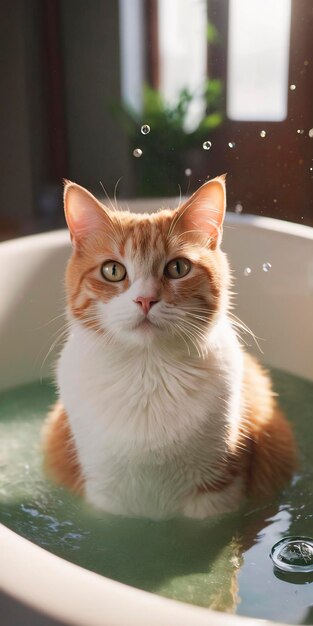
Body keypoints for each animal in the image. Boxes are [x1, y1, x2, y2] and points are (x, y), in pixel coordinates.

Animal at [42, 176, 296, 516]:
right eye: (113, 270)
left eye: (178, 268)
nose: (145, 299)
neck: (148, 372)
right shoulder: (106, 494)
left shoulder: (217, 494)